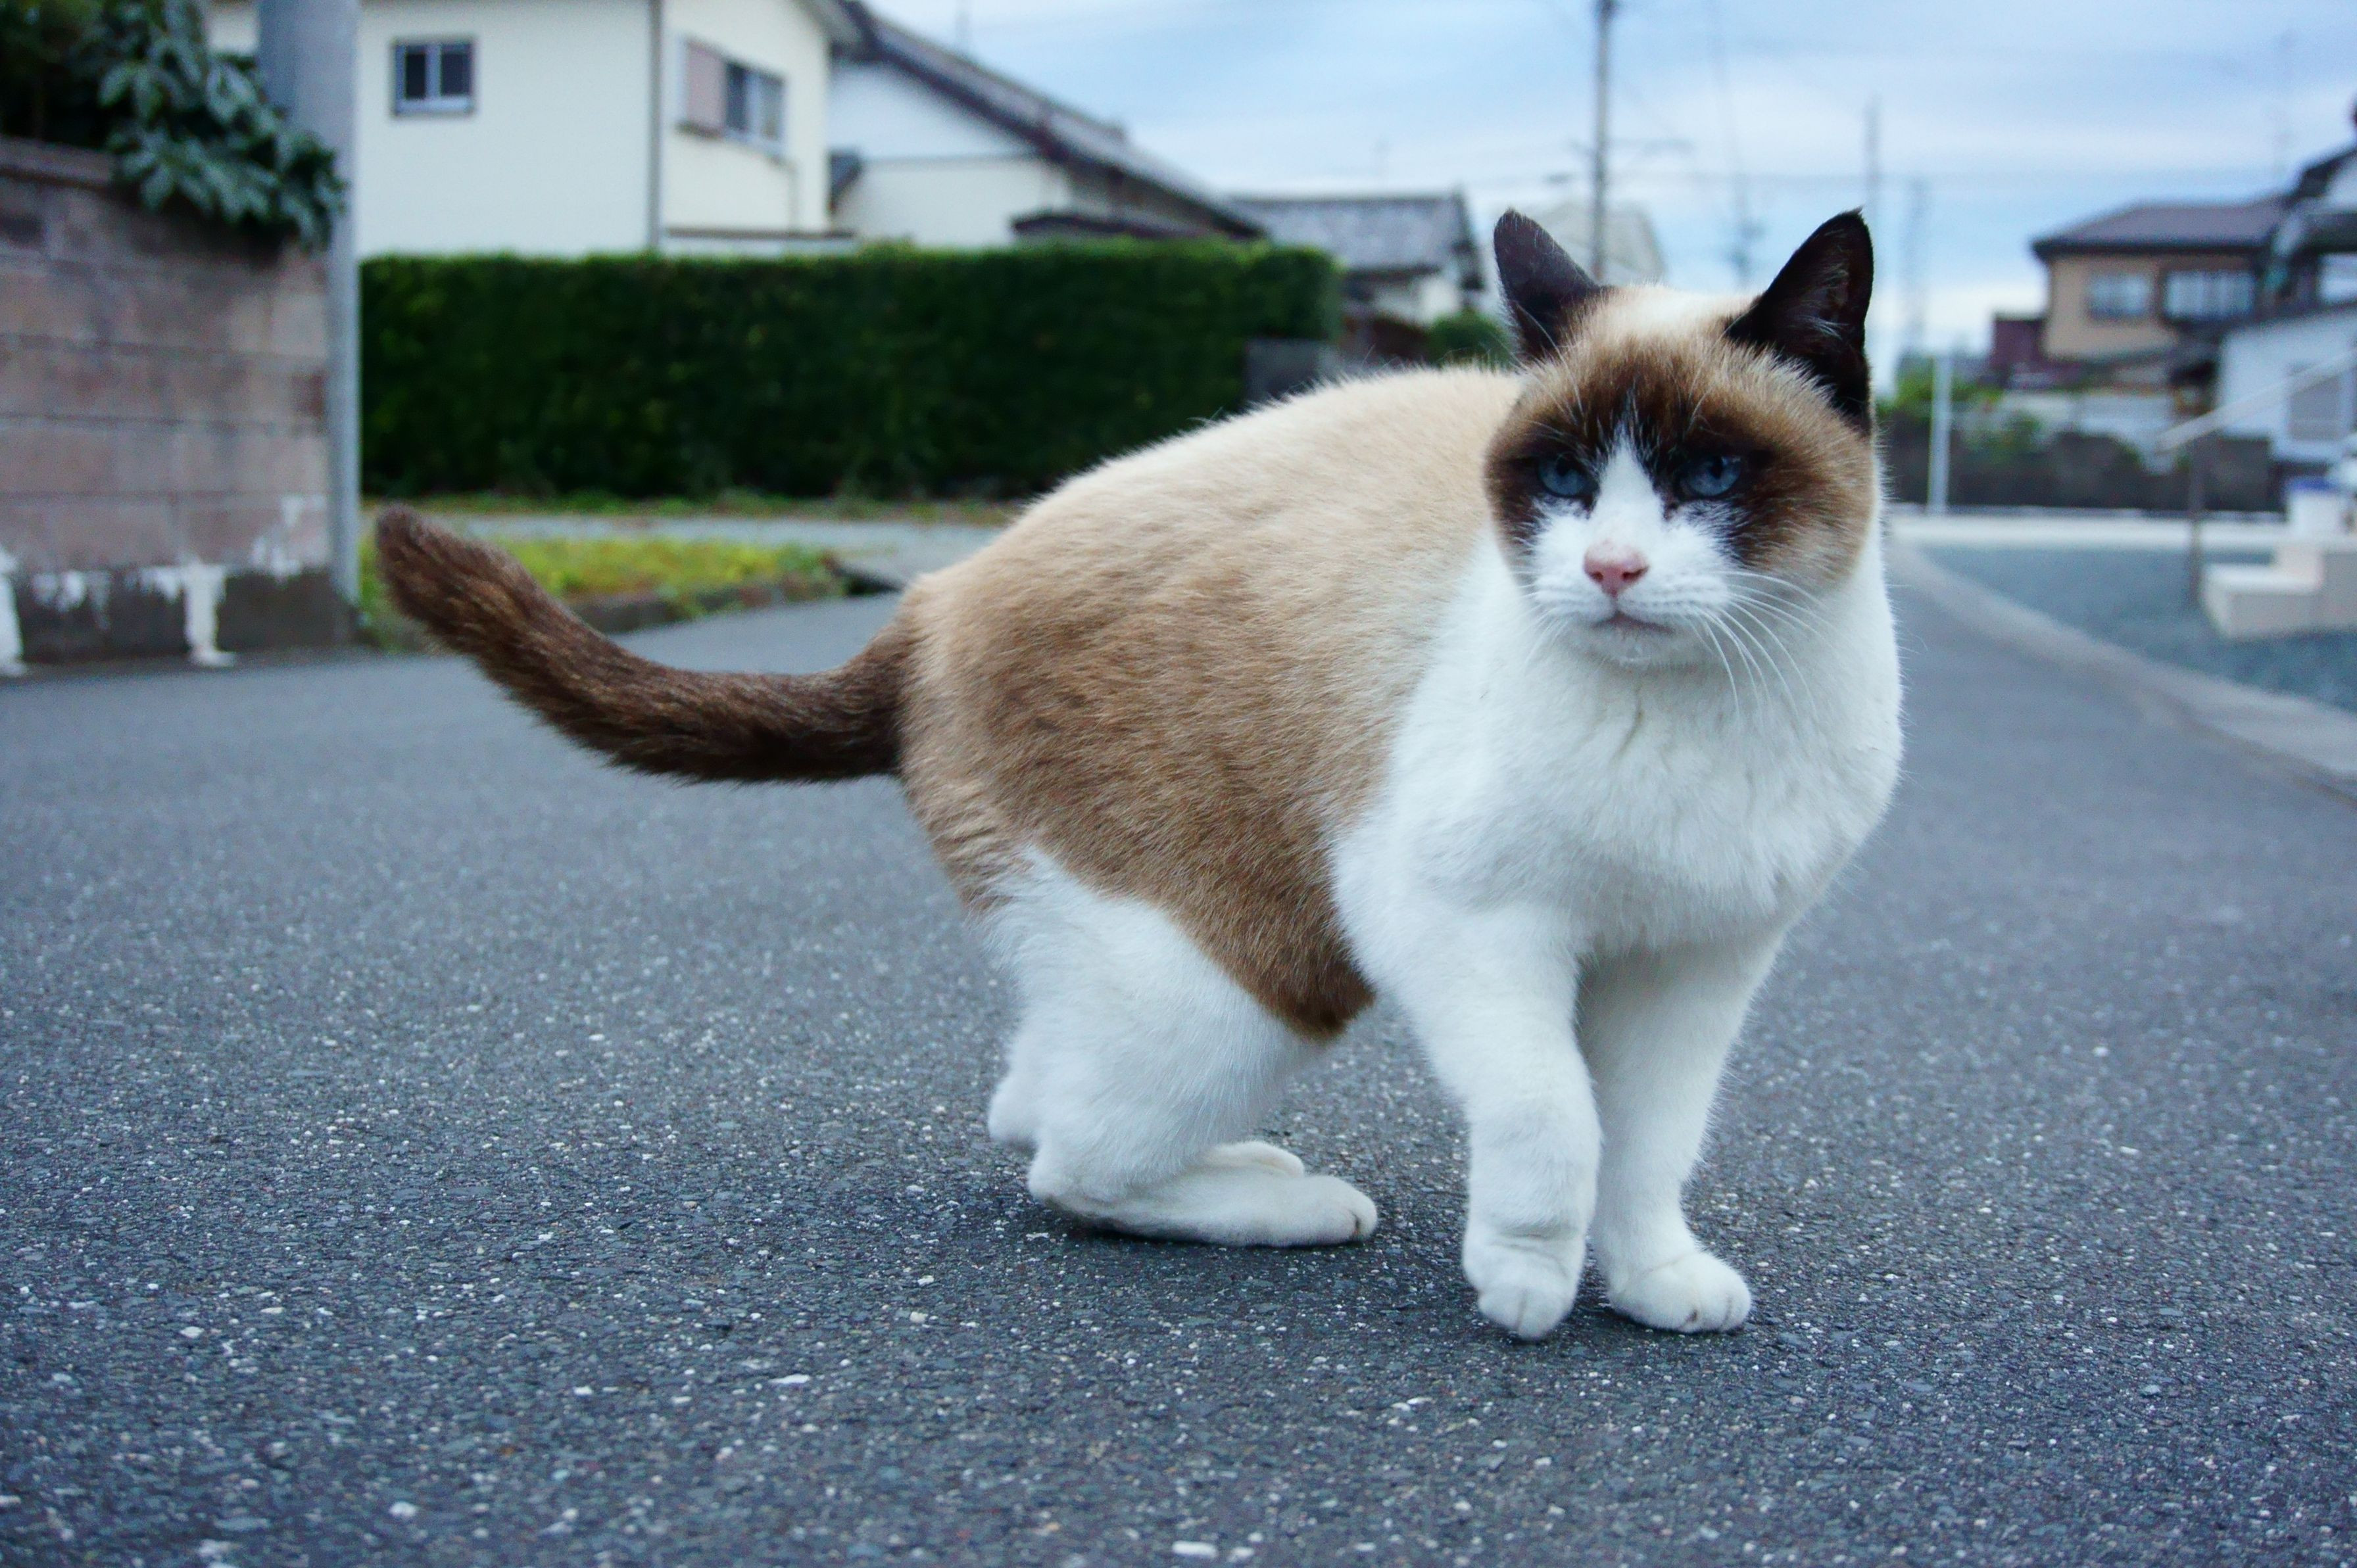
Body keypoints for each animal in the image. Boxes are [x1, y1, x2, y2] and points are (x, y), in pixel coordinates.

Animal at [377, 209, 1901, 1341]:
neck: (1685, 707)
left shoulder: (1694, 966)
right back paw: (1295, 1201)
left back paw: (1252, 1166)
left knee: (1029, 1097)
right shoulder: (1462, 925)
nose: (1612, 570)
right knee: (1072, 1159)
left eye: (1711, 477)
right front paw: (1526, 1281)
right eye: (1567, 482)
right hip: (1251, 975)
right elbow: (1553, 1119)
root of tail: (928, 601)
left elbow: (1648, 1143)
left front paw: (1648, 1284)